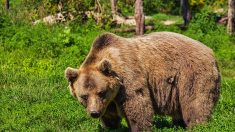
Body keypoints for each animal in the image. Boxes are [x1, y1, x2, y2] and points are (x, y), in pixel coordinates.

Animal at [64, 31, 220, 131]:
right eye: (84, 96)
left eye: (101, 92)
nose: (94, 113)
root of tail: (210, 51)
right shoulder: (110, 98)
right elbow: (109, 113)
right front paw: (110, 126)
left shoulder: (128, 77)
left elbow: (137, 104)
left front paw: (138, 127)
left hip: (191, 73)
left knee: (196, 101)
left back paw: (197, 125)